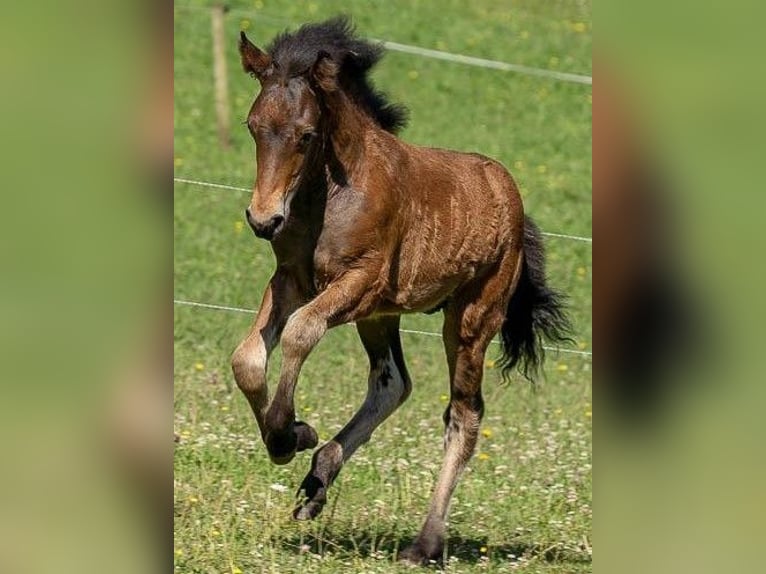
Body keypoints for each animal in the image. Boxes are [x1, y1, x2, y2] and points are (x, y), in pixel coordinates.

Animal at [231, 16, 572, 568]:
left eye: (306, 135)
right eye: (252, 127)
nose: (264, 220)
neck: (331, 192)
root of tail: (512, 198)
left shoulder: (360, 283)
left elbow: (302, 332)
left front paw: (287, 431)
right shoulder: (291, 280)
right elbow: (247, 359)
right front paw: (293, 438)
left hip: (469, 319)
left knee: (464, 415)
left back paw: (425, 543)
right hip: (382, 318)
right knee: (392, 384)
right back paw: (317, 480)